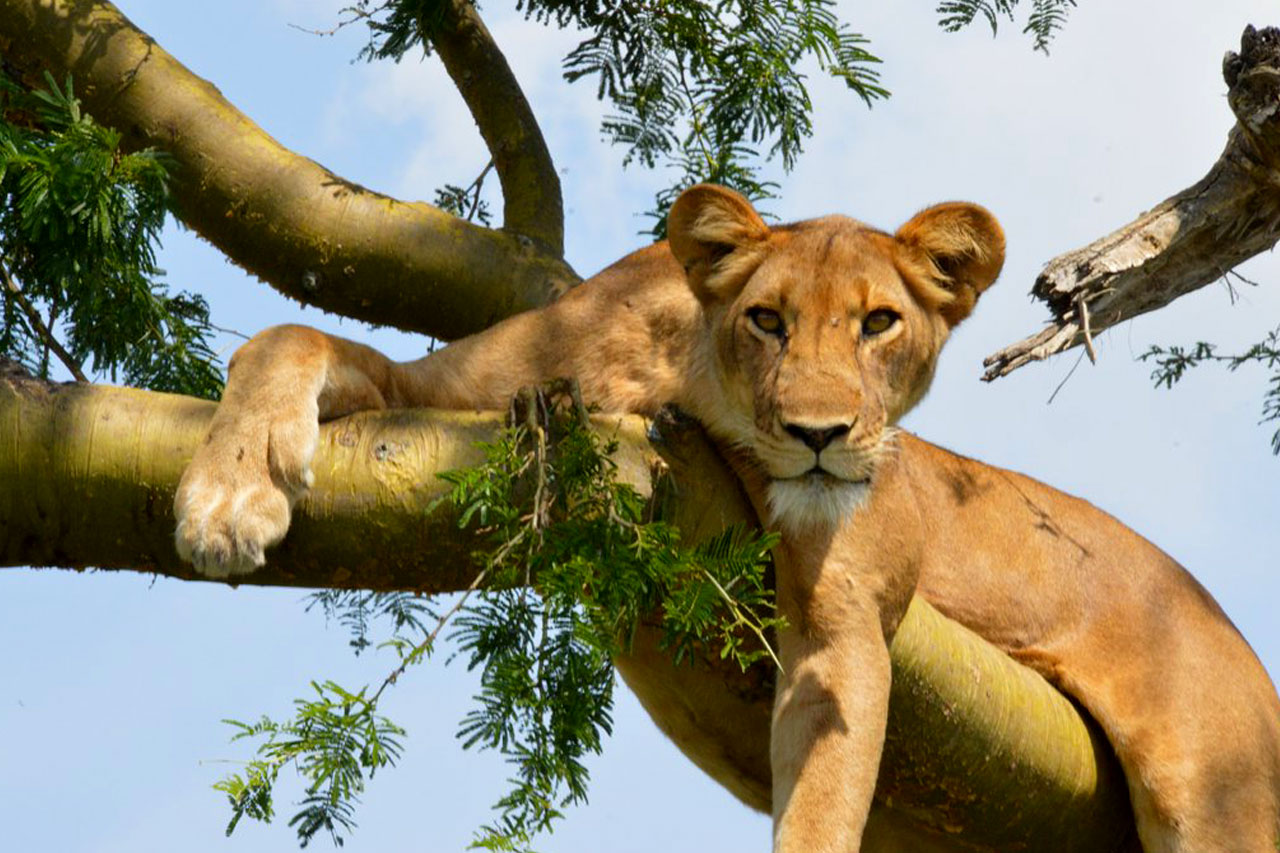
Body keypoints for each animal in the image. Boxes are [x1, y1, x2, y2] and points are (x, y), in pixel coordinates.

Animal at [174, 184, 1280, 851]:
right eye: (768, 319)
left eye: (880, 323)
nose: (821, 434)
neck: (677, 379)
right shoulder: (441, 394)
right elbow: (286, 336)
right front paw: (226, 495)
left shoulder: (841, 619)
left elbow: (823, 786)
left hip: (1213, 797)